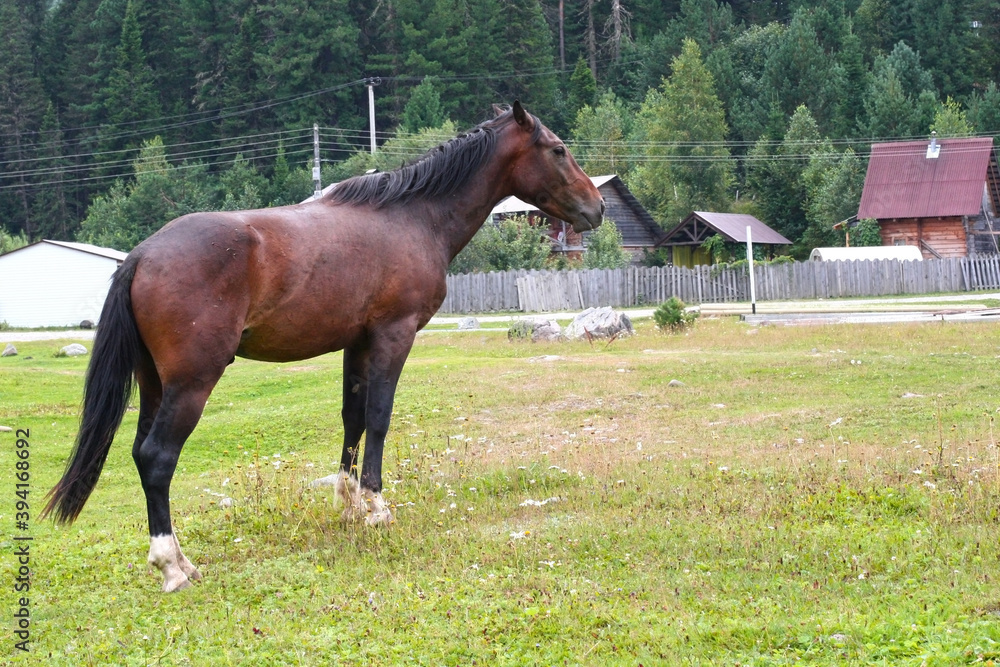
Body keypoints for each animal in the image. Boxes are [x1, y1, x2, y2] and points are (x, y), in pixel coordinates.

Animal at [42, 101, 604, 592]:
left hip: (156, 384)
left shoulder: (357, 344)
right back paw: (172, 568)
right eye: (558, 149)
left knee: (142, 455)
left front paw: (349, 502)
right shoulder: (393, 335)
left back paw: (182, 561)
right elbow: (379, 416)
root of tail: (141, 255)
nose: (596, 207)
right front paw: (376, 508)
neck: (412, 217)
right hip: (191, 382)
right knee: (158, 457)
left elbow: (352, 419)